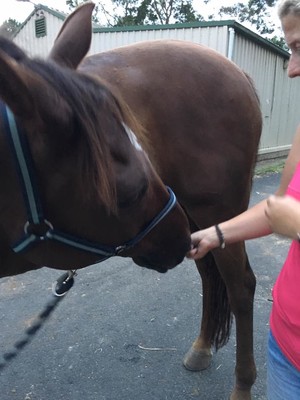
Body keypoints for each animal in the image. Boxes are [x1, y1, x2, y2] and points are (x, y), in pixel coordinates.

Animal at [0, 3, 260, 400]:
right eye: (129, 189)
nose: (175, 238)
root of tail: (238, 72)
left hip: (215, 209)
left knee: (241, 286)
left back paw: (242, 385)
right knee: (209, 273)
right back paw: (201, 347)